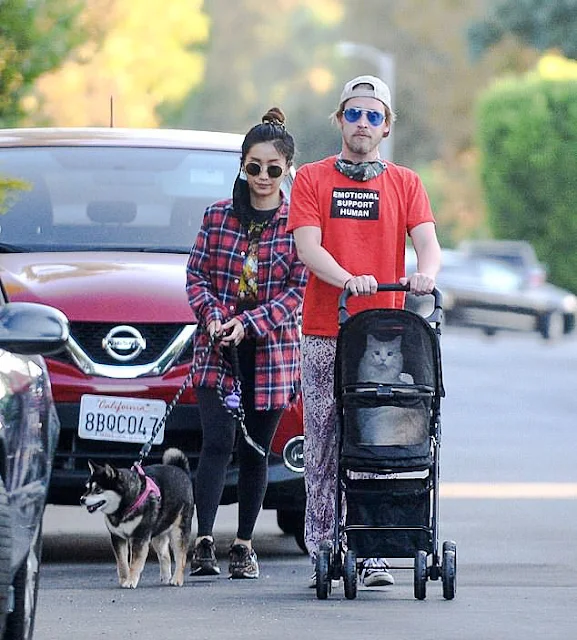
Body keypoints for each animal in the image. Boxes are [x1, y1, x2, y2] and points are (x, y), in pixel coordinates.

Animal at [80, 448, 195, 588]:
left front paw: (130, 581)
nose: (82, 499)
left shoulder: (139, 537)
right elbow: (122, 562)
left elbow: (134, 563)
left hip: (178, 531)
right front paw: (124, 579)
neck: (122, 508)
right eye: (87, 488)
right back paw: (166, 577)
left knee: (181, 557)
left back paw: (177, 579)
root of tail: (180, 470)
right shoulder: (117, 537)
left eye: (98, 489)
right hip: (157, 533)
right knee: (165, 554)